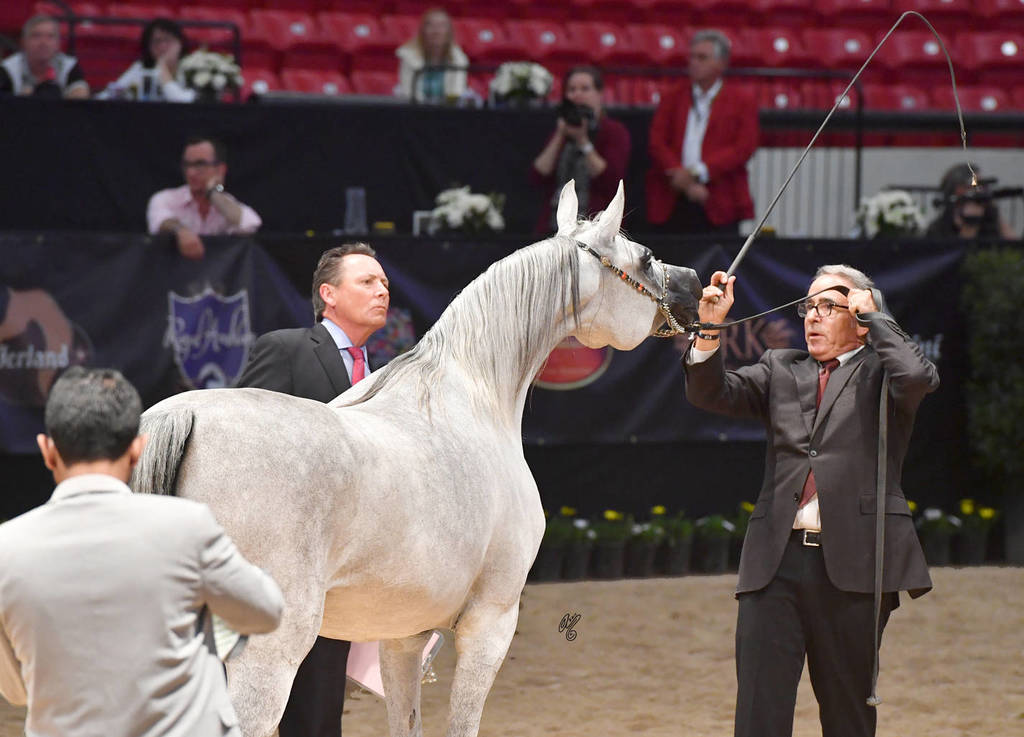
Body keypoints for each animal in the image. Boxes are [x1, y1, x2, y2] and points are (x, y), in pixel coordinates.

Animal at [130, 181, 702, 737]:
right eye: (645, 256)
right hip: (265, 653)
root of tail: (180, 418)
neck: (474, 394)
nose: (697, 283)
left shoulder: (402, 634)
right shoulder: (490, 624)